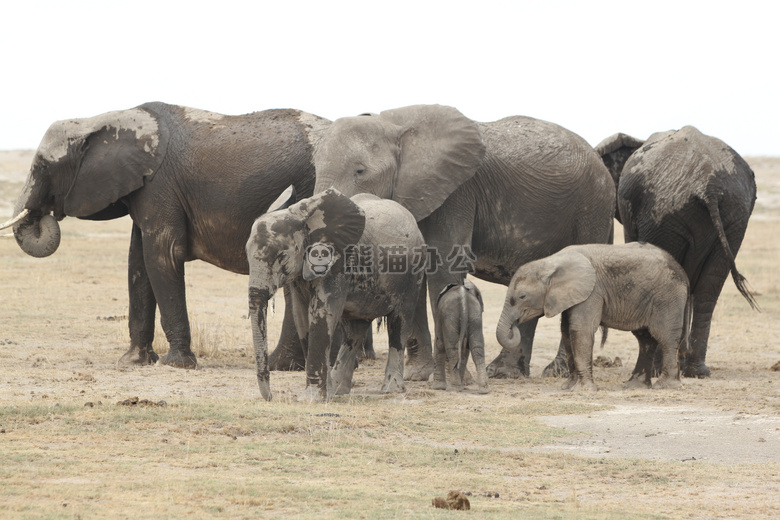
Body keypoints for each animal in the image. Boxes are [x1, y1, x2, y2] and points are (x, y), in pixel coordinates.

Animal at [0, 102, 328, 370]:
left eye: (42, 166)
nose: (43, 216)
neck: (103, 119)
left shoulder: (160, 185)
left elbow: (163, 254)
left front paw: (175, 364)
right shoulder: (143, 190)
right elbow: (138, 262)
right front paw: (133, 362)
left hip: (309, 185)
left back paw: (278, 365)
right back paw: (287, 366)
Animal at [247, 188, 424, 402]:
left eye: (282, 256)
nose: (272, 397)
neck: (304, 219)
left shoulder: (336, 263)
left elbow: (323, 314)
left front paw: (312, 399)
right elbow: (301, 317)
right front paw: (325, 395)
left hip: (412, 275)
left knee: (399, 323)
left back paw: (391, 389)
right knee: (354, 330)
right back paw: (339, 389)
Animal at [304, 103, 616, 380]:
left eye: (360, 171)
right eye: (315, 168)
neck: (395, 127)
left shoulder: (457, 193)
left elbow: (443, 266)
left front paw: (448, 374)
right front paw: (418, 375)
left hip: (592, 209)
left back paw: (554, 373)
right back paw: (506, 373)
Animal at [496, 244, 692, 390]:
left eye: (522, 296)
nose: (515, 324)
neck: (550, 262)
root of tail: (683, 272)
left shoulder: (592, 292)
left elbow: (580, 330)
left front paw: (583, 390)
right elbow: (566, 331)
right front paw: (568, 387)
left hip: (667, 297)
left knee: (665, 336)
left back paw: (665, 386)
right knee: (645, 339)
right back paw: (635, 386)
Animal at [596, 126, 756, 378]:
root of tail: (709, 185)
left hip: (664, 213)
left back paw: (656, 370)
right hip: (734, 215)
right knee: (709, 289)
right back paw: (696, 371)